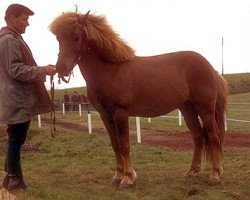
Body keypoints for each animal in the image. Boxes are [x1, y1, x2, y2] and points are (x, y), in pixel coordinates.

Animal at [49, 12, 228, 188]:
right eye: (59, 39)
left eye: (77, 36)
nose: (61, 69)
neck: (110, 70)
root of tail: (211, 69)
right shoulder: (105, 115)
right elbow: (115, 145)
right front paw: (118, 176)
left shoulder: (120, 113)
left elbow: (124, 145)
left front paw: (127, 178)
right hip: (187, 109)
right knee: (197, 136)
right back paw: (192, 171)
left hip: (205, 109)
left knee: (215, 137)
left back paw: (215, 174)